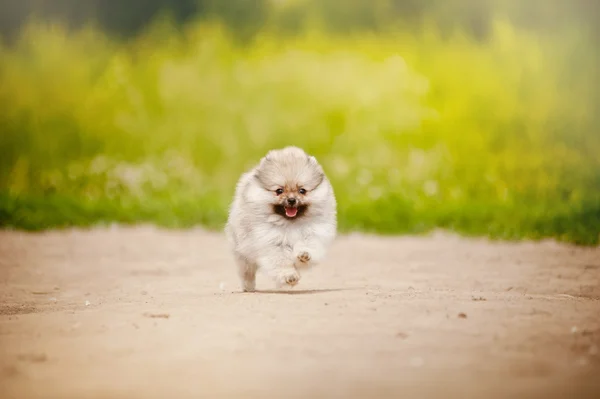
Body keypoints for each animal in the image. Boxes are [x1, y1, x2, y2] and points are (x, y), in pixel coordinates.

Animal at [225, 146, 338, 290]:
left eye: (302, 191)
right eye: (279, 191)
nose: (291, 200)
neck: (290, 223)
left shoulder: (313, 233)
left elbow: (308, 245)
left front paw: (304, 255)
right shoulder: (272, 243)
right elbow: (282, 261)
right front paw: (289, 276)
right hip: (243, 251)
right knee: (247, 271)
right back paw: (249, 286)